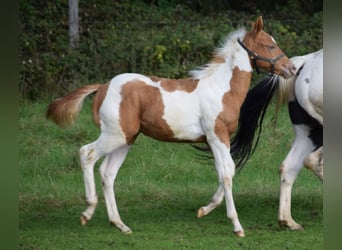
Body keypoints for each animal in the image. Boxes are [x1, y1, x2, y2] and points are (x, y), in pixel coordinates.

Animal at [46, 16, 296, 237]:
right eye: (269, 45)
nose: (291, 68)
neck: (221, 89)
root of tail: (103, 87)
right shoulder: (217, 135)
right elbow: (227, 173)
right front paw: (236, 225)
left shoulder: (214, 139)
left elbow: (225, 171)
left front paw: (204, 210)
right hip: (114, 135)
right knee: (86, 154)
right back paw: (88, 211)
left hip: (126, 139)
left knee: (108, 173)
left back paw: (120, 225)